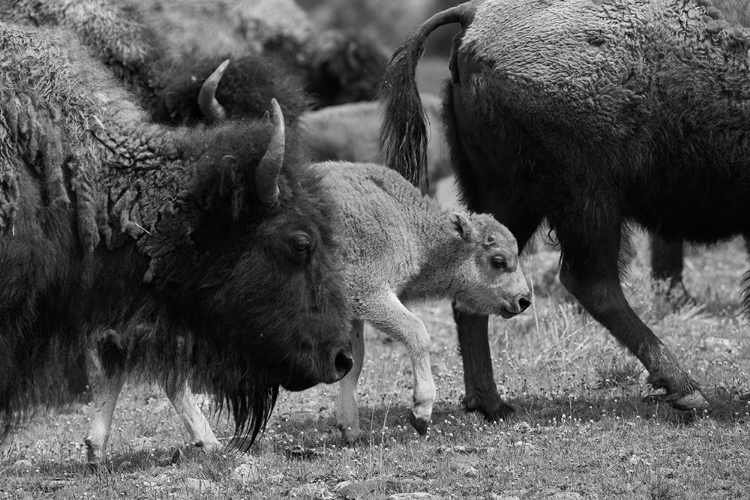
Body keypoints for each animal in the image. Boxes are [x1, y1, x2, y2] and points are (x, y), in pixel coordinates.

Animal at [382, 0, 750, 418]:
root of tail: (472, 14)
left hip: (513, 199)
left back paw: (492, 404)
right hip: (587, 198)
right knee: (593, 283)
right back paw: (688, 391)